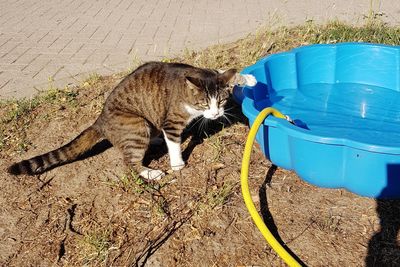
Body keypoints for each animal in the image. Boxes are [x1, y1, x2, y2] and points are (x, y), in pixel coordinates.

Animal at [7, 62, 256, 181]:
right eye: (204, 104)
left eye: (221, 101)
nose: (215, 115)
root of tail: (100, 119)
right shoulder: (172, 122)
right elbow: (175, 144)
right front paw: (177, 164)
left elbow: (224, 71)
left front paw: (249, 78)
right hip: (136, 125)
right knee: (130, 163)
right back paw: (151, 173)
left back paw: (156, 141)